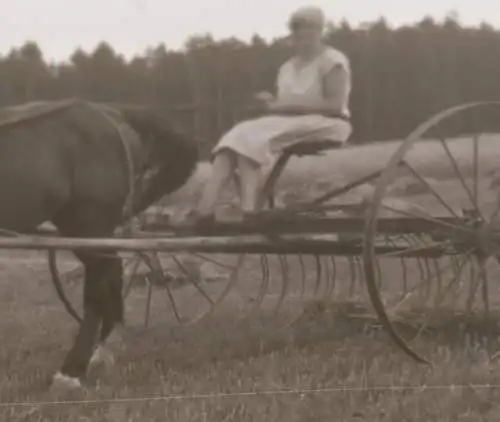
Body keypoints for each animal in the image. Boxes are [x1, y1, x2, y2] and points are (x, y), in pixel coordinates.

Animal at [0, 99, 199, 390]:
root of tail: (112, 113)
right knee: (111, 274)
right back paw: (101, 353)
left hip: (90, 225)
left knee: (97, 288)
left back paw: (72, 370)